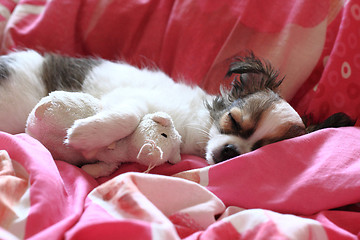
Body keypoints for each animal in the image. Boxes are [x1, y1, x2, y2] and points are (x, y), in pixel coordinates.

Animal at [0, 50, 352, 168]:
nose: (230, 151)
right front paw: (86, 134)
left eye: (260, 150)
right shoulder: (126, 97)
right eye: (232, 120)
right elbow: (128, 114)